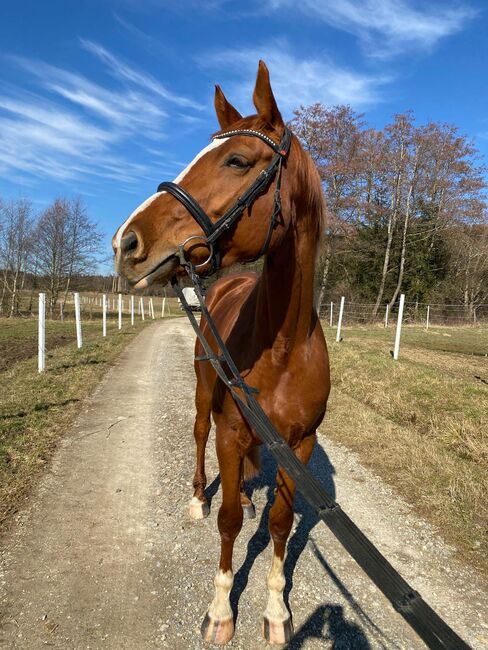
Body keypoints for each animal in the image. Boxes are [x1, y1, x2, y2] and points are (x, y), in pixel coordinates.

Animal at [112, 62, 330, 644]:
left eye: (237, 160)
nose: (126, 242)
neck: (283, 350)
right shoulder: (232, 431)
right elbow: (228, 521)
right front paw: (220, 609)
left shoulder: (298, 446)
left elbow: (279, 524)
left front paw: (276, 612)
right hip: (203, 394)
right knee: (198, 438)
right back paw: (196, 496)